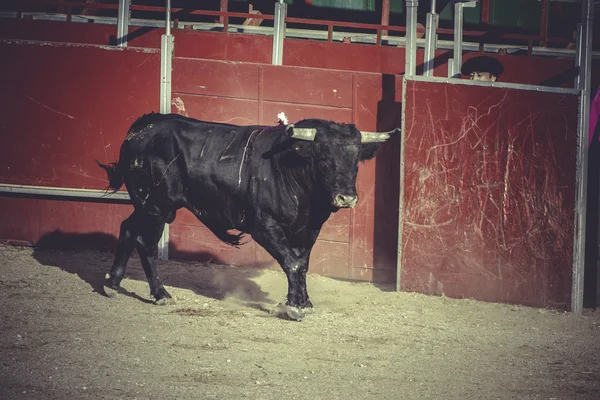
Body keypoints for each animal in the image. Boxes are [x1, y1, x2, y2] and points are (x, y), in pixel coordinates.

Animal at [98, 114, 398, 320]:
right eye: (323, 158)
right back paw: (160, 294)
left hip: (145, 205)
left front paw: (304, 302)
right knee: (146, 242)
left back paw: (112, 283)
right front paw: (294, 307)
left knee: (127, 229)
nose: (346, 198)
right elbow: (292, 263)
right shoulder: (265, 227)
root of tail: (144, 126)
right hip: (157, 206)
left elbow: (302, 264)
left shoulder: (309, 230)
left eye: (356, 161)